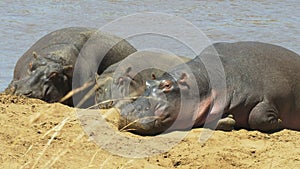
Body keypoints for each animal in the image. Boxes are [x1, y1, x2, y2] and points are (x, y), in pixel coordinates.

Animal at [119, 41, 300, 135]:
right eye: (147, 84)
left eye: (167, 85)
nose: (128, 111)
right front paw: (229, 119)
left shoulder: (264, 97)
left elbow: (258, 115)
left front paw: (280, 122)